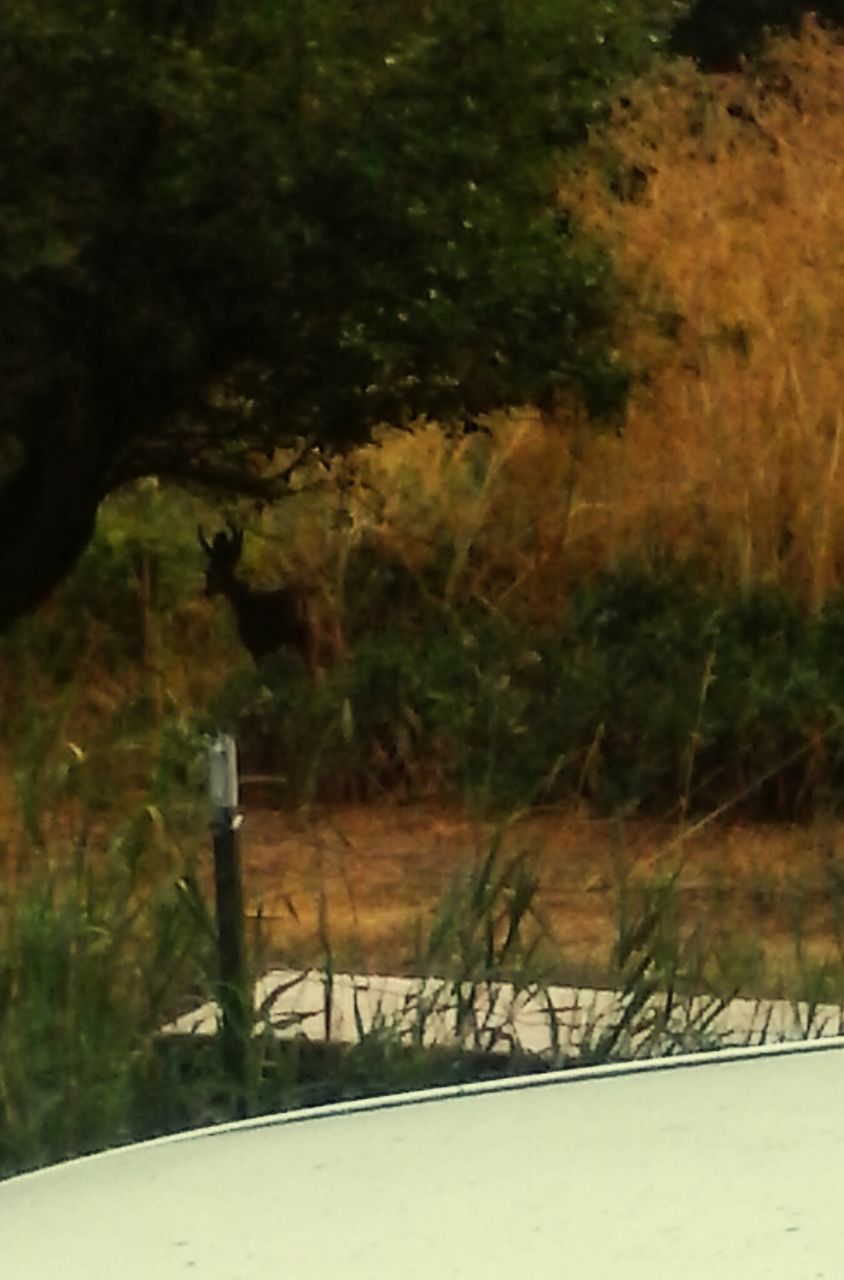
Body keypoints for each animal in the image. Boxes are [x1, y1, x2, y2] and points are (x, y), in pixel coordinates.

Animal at [198, 522, 324, 675]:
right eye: (209, 571)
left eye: (216, 572)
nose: (207, 591)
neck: (243, 604)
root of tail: (306, 601)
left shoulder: (256, 647)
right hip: (312, 632)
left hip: (300, 636)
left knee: (314, 670)